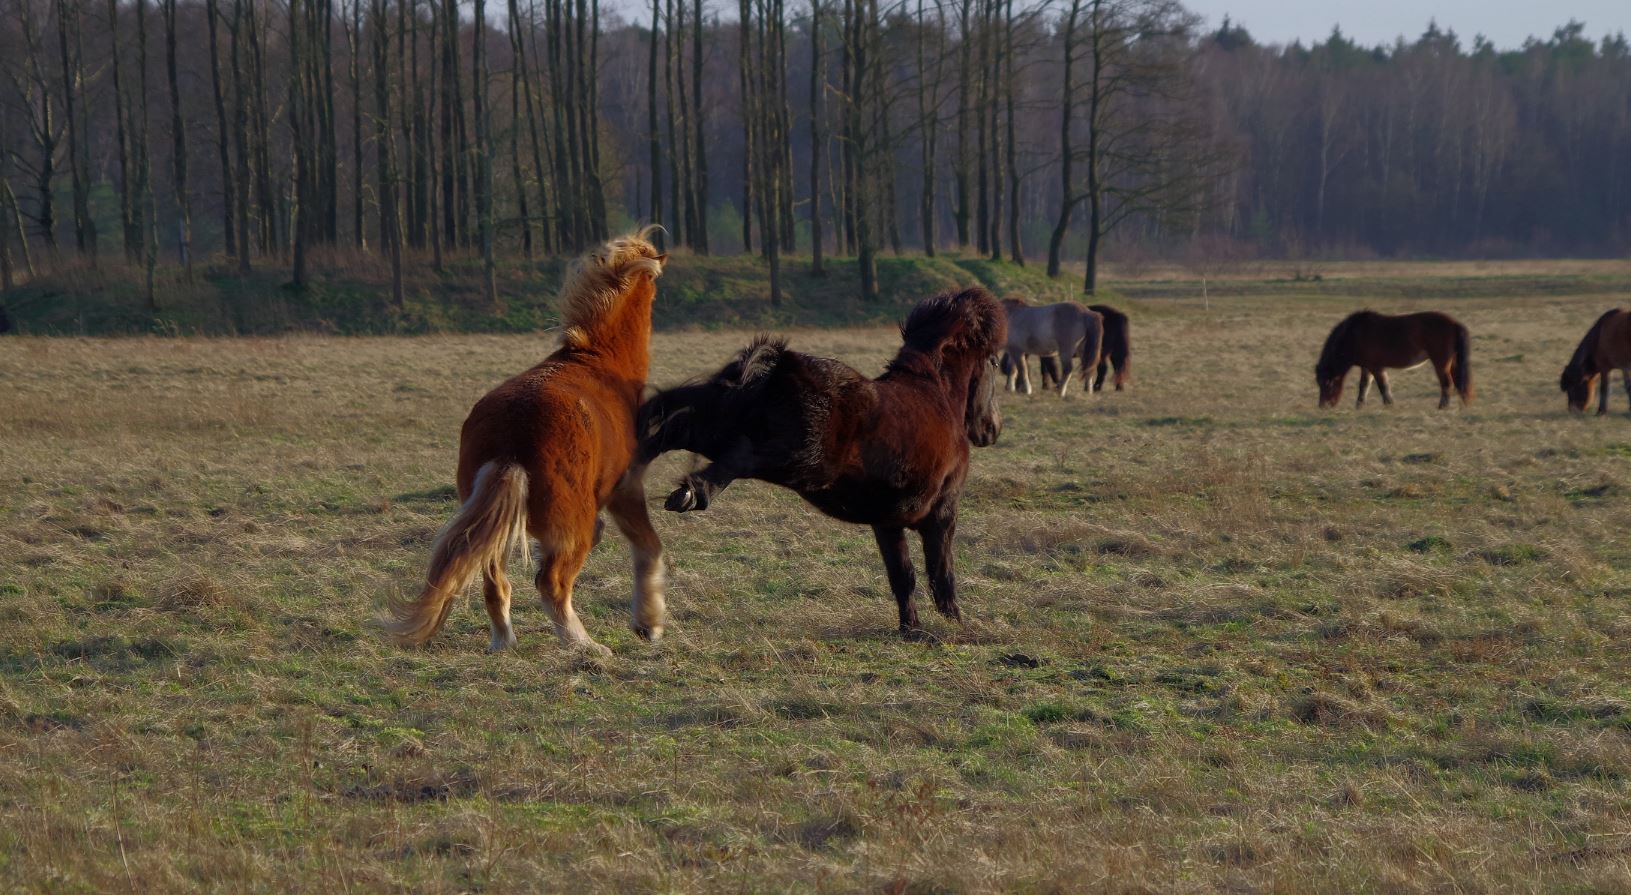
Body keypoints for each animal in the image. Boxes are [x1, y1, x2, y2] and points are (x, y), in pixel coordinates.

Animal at [388, 226, 668, 652]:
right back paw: (584, 645)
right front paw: (648, 623)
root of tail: (510, 442)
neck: (600, 361)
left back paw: (504, 641)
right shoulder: (626, 488)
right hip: (567, 527)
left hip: (495, 524)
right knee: (551, 584)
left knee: (493, 582)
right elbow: (649, 547)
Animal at [636, 286, 1004, 635]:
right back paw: (693, 493)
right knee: (739, 455)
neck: (937, 393)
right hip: (800, 462)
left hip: (717, 426)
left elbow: (903, 576)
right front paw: (954, 624)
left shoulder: (887, 521)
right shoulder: (942, 513)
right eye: (994, 364)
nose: (992, 429)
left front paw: (910, 628)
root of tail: (777, 366)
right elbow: (941, 574)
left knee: (669, 423)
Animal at [1311, 306, 1480, 404]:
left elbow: (1383, 387)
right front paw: (1359, 406)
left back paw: (1442, 408)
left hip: (1441, 363)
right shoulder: (1367, 367)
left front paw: (1389, 405)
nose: (1324, 406)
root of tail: (1454, 323)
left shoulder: (1376, 367)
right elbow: (1363, 387)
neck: (1354, 335)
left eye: (1328, 383)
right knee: (1457, 382)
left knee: (1447, 384)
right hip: (1452, 362)